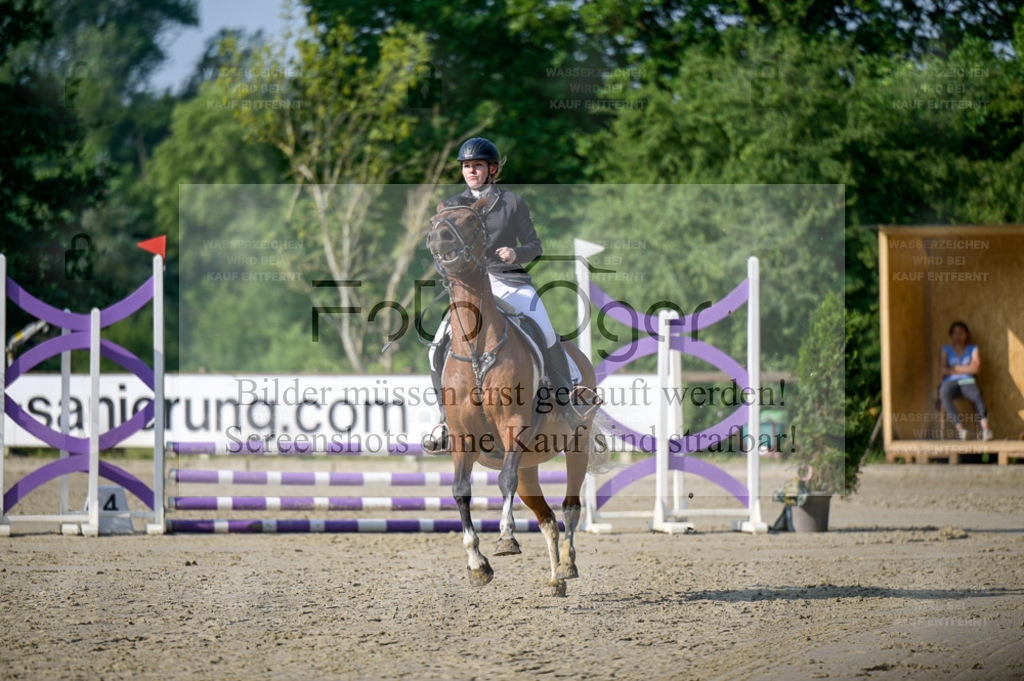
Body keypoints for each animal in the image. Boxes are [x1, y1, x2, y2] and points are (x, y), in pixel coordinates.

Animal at [423, 193, 606, 593]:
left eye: (471, 220)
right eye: (435, 220)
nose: (440, 238)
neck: (478, 351)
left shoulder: (514, 425)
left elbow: (502, 481)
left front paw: (506, 538)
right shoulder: (462, 437)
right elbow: (460, 490)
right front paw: (477, 564)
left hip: (575, 444)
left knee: (570, 505)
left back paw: (567, 565)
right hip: (529, 466)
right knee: (546, 517)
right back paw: (555, 580)